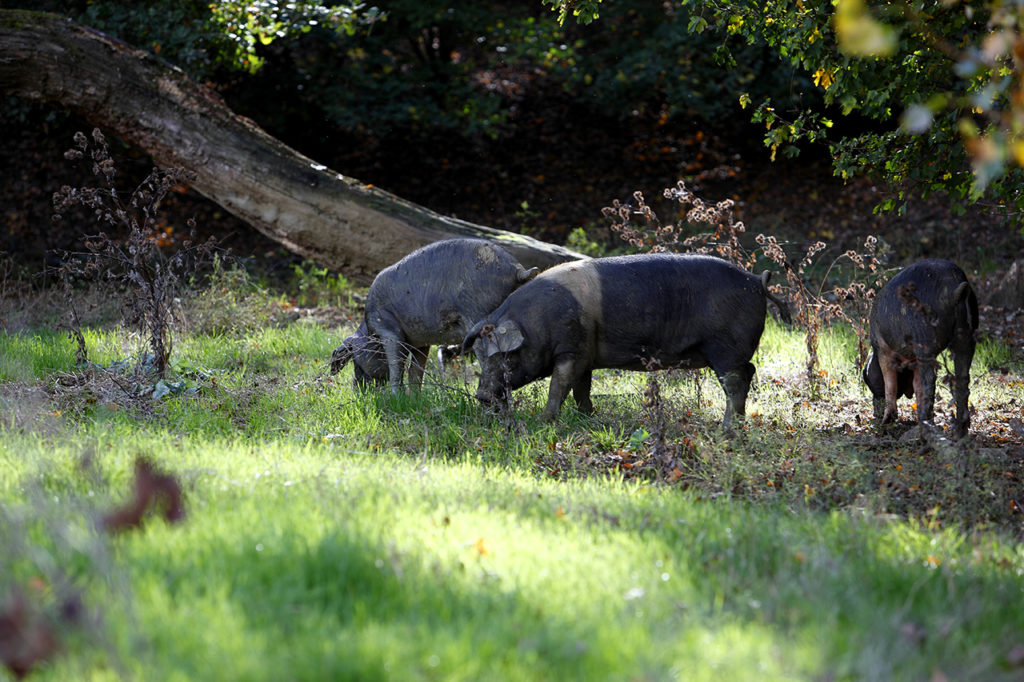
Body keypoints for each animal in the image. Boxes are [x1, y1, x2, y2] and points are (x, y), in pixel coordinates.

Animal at [327, 237, 540, 387]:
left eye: (355, 359)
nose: (357, 388)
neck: (370, 331)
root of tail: (517, 270)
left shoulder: (389, 331)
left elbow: (397, 367)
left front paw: (394, 397)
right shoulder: (421, 342)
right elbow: (415, 372)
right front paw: (413, 399)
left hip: (478, 314)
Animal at [460, 251, 786, 428]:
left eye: (505, 356)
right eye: (478, 356)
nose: (481, 395)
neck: (539, 322)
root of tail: (757, 282)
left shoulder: (571, 350)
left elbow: (559, 386)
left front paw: (545, 421)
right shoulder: (585, 353)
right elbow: (581, 388)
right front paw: (588, 417)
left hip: (726, 348)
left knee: (736, 382)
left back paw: (727, 429)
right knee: (749, 372)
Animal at [864, 258, 974, 438]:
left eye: (867, 380)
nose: (875, 414)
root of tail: (953, 288)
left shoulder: (884, 350)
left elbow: (890, 382)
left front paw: (887, 421)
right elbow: (917, 385)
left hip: (925, 342)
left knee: (930, 380)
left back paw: (925, 424)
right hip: (966, 336)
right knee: (963, 377)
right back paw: (959, 431)